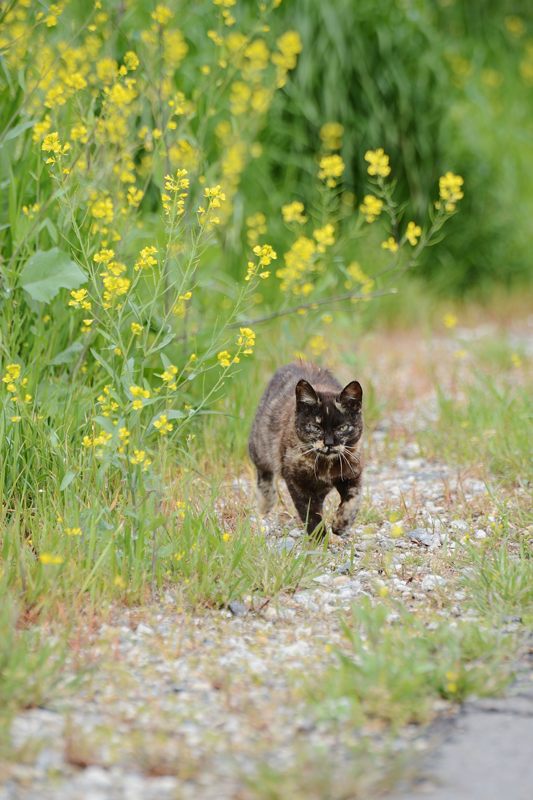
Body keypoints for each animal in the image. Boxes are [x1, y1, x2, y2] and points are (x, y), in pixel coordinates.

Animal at [248, 362, 364, 536]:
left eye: (342, 427)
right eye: (315, 427)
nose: (329, 443)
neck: (325, 465)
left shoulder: (352, 473)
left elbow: (353, 500)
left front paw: (340, 524)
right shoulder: (297, 483)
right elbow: (310, 516)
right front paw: (319, 538)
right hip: (260, 449)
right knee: (264, 476)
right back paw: (266, 504)